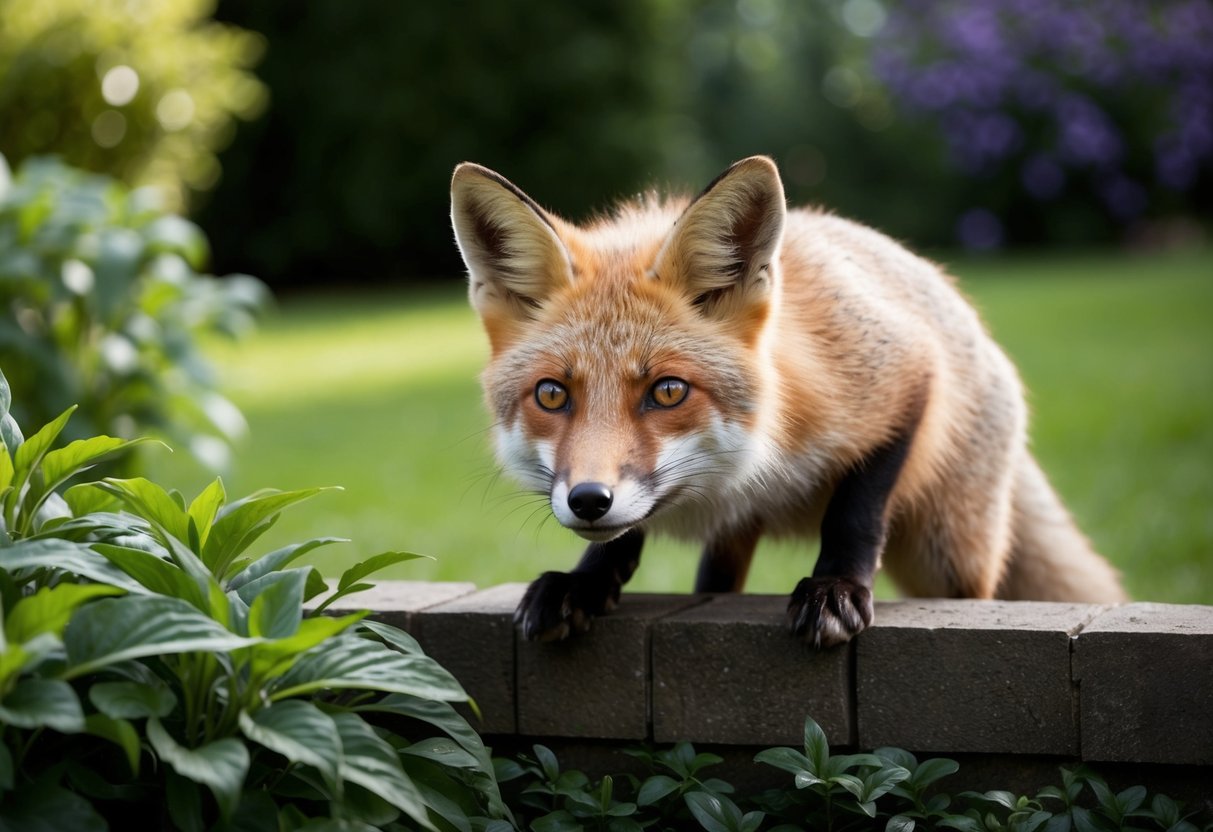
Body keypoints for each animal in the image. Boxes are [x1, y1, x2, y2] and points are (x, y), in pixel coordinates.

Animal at [449, 155, 1126, 648]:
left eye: (668, 391)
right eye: (552, 394)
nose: (589, 500)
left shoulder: (903, 373)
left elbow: (854, 512)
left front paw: (835, 588)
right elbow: (620, 539)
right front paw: (584, 584)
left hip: (951, 556)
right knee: (715, 583)